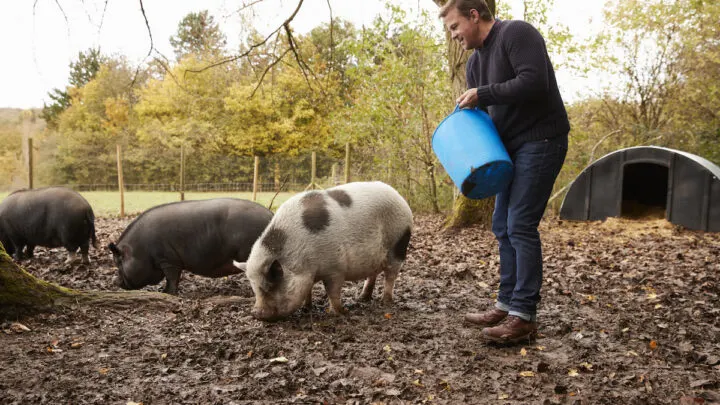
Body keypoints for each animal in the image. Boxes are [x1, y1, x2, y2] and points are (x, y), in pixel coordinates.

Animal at [108, 198, 273, 295]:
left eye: (119, 262)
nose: (114, 281)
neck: (140, 250)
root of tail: (271, 215)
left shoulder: (168, 260)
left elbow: (172, 278)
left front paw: (167, 293)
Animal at [234, 181, 413, 321]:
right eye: (254, 287)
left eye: (270, 285)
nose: (256, 313)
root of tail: (399, 197)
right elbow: (308, 290)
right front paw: (306, 309)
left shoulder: (335, 268)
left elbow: (332, 292)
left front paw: (341, 313)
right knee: (373, 274)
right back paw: (362, 298)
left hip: (399, 243)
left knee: (391, 275)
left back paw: (385, 302)